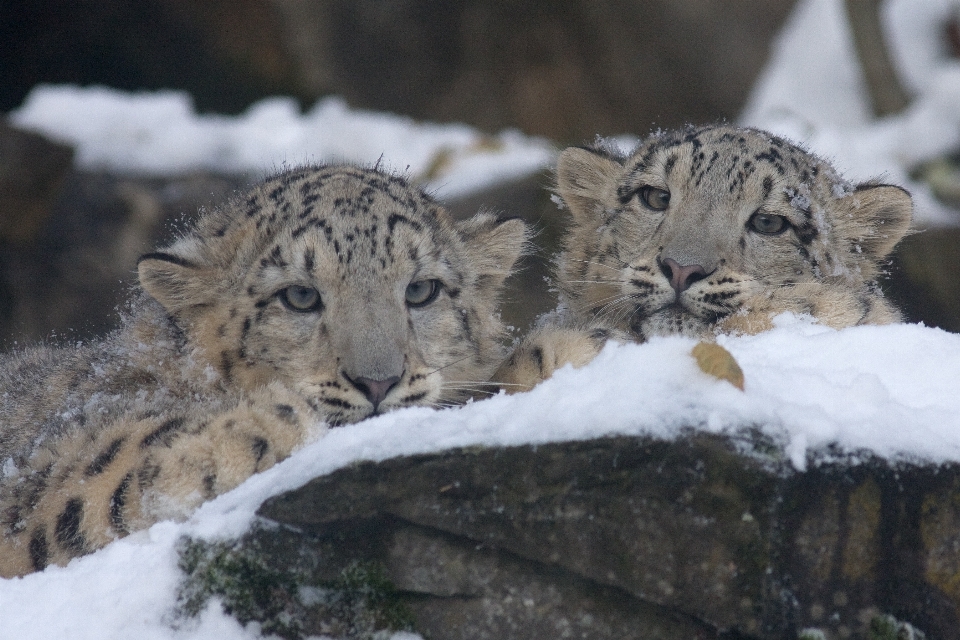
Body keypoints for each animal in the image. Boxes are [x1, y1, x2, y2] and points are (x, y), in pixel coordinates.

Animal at [0, 164, 528, 576]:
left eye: (421, 290)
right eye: (300, 296)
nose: (378, 382)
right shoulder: (35, 476)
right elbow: (99, 472)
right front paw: (260, 421)